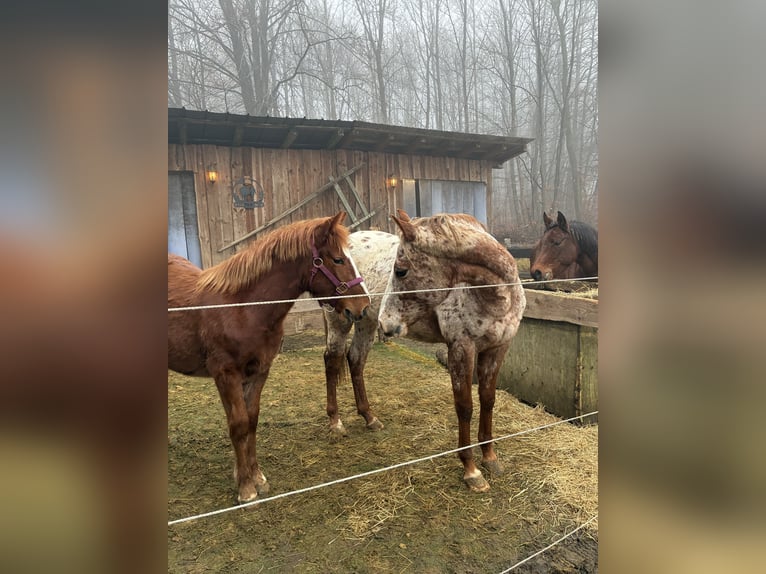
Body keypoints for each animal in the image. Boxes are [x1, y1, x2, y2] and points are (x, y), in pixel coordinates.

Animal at [168, 212, 371, 503]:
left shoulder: (259, 371)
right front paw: (246, 489)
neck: (243, 308)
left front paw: (256, 477)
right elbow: (239, 424)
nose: (363, 307)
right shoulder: (226, 374)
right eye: (338, 259)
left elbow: (251, 420)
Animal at [377, 210, 526, 492]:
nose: (385, 321)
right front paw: (471, 470)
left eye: (401, 271)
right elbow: (465, 406)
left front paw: (490, 457)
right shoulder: (461, 349)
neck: (493, 298)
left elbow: (488, 400)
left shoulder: (498, 348)